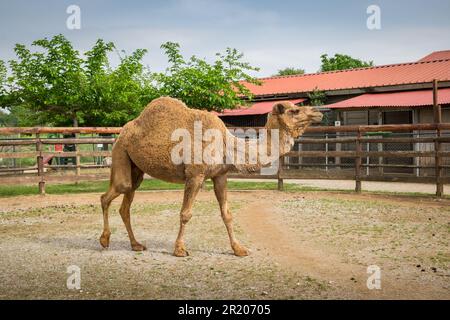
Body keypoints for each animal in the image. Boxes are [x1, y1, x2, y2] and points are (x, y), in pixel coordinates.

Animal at [100, 96, 322, 256]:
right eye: (295, 110)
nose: (318, 112)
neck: (225, 143)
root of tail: (122, 132)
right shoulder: (195, 175)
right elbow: (186, 213)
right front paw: (179, 250)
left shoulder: (220, 175)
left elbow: (227, 214)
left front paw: (239, 249)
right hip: (121, 152)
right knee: (111, 194)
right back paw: (104, 240)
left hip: (136, 167)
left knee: (126, 201)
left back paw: (136, 244)